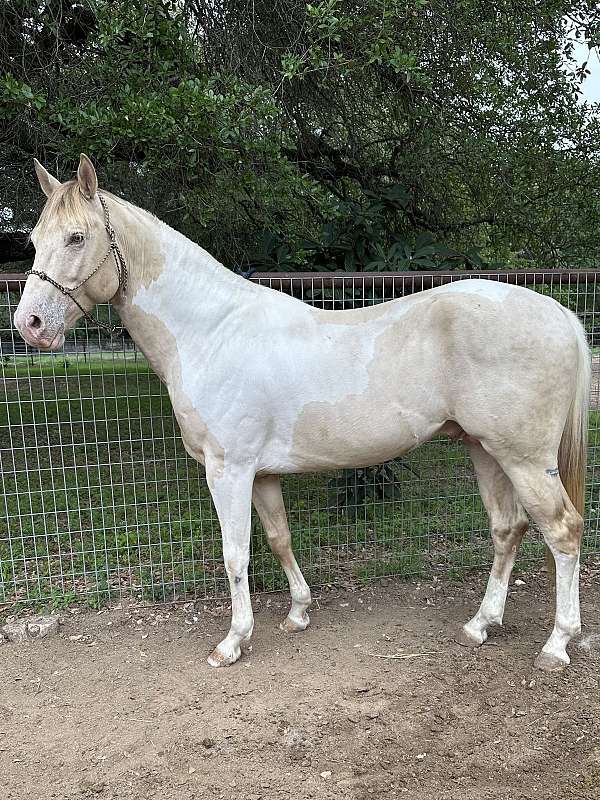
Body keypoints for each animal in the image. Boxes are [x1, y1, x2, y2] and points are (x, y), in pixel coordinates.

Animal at [14, 155, 592, 668]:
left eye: (77, 237)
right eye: (35, 240)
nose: (30, 325)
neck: (213, 330)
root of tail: (560, 312)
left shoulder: (228, 470)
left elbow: (235, 553)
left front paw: (233, 641)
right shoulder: (262, 473)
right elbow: (278, 538)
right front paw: (298, 613)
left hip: (523, 459)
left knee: (563, 530)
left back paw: (557, 644)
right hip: (485, 450)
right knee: (507, 529)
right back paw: (481, 624)